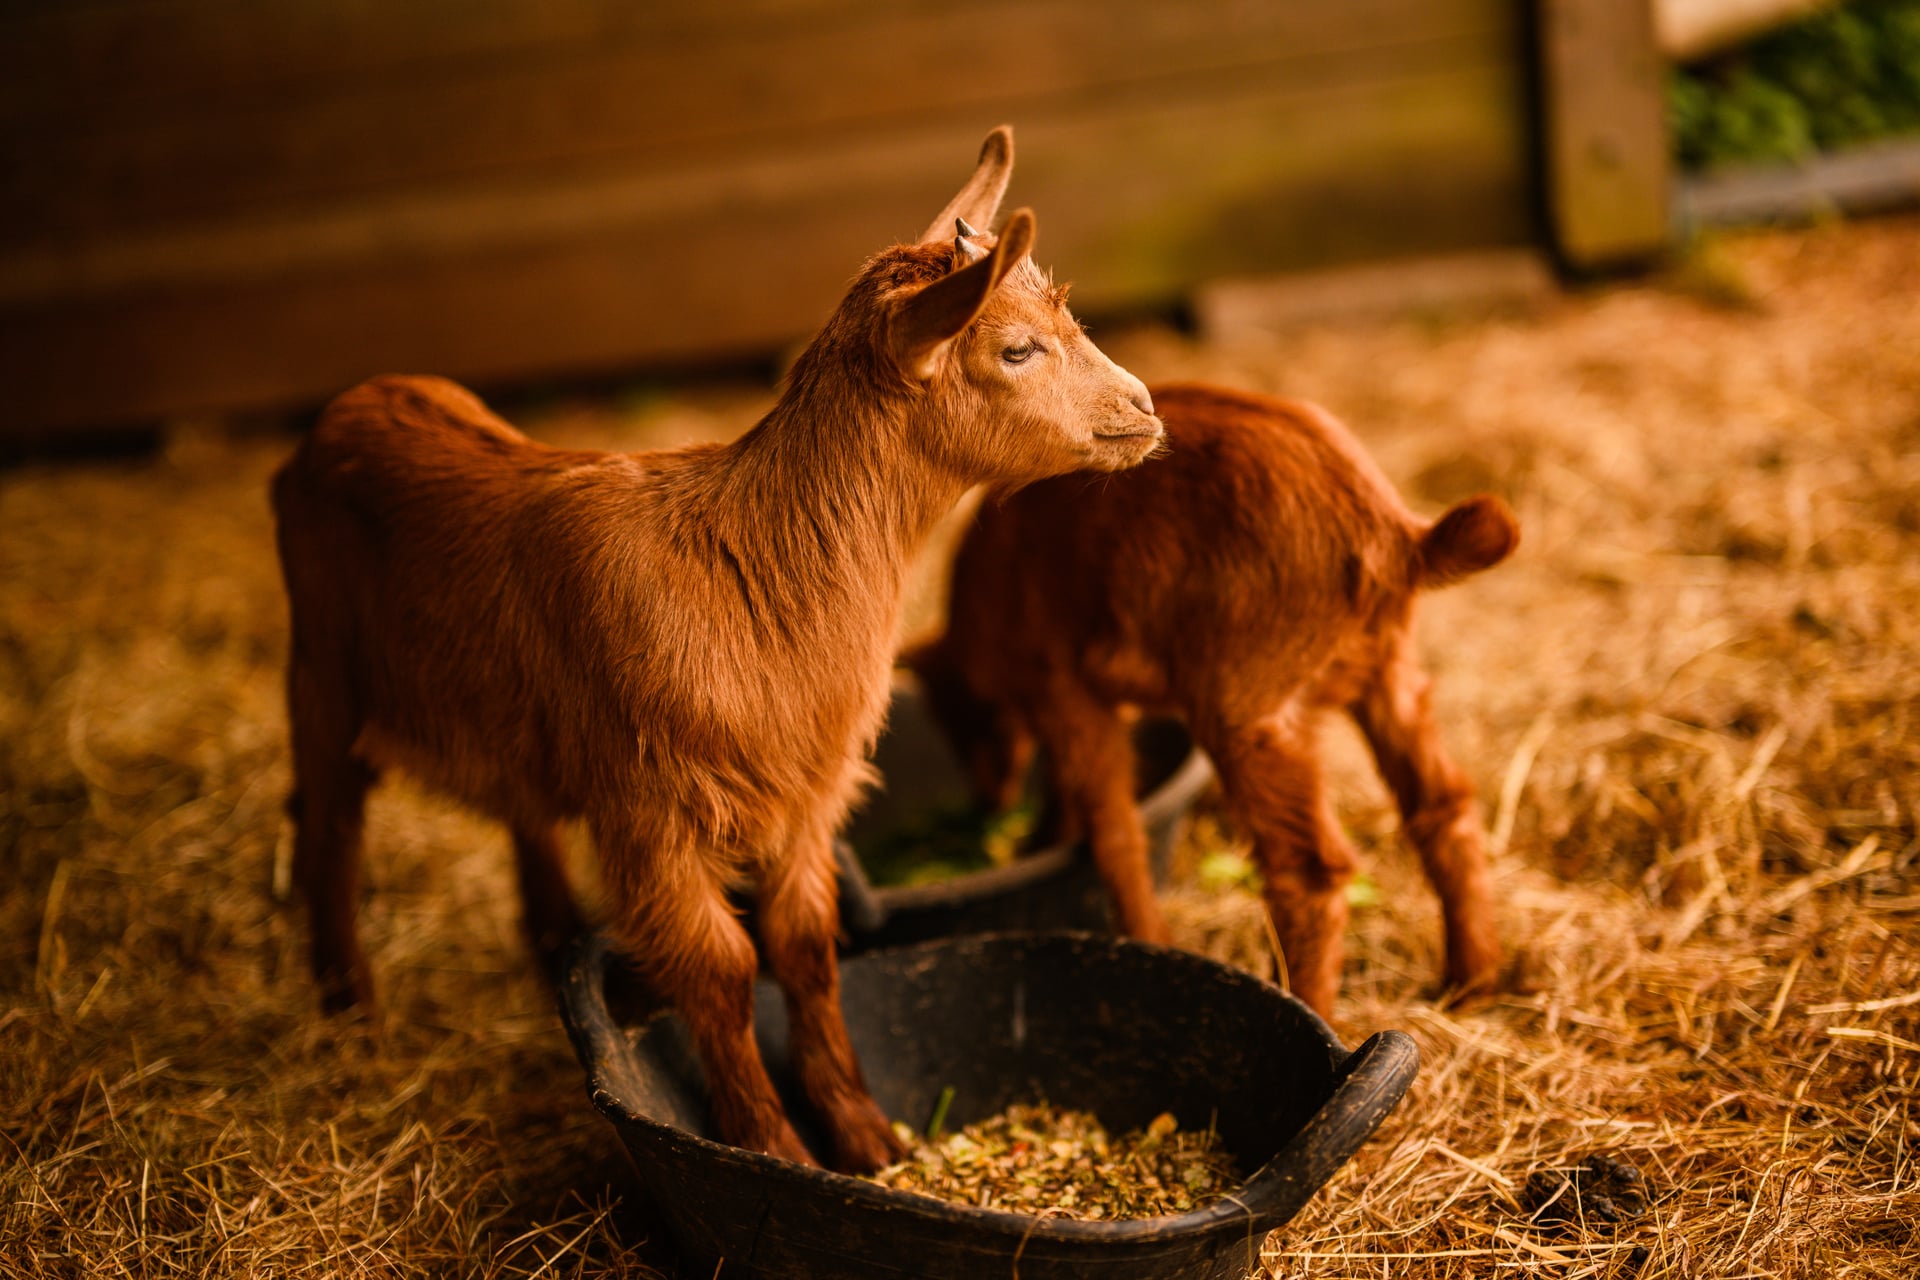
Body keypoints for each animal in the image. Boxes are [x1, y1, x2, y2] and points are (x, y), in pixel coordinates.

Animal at [270, 126, 1163, 1172]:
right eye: (1015, 347)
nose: (1143, 406)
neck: (750, 575)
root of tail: (350, 407)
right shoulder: (650, 812)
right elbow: (721, 970)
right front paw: (773, 1147)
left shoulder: (804, 795)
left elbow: (806, 947)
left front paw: (867, 1137)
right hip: (320, 670)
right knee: (328, 819)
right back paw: (347, 1004)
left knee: (515, 809)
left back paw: (545, 935)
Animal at [908, 383, 1516, 1017]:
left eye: (957, 722)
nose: (988, 803)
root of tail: (1394, 535)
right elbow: (1071, 800)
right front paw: (1043, 839)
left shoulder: (1064, 689)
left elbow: (1114, 828)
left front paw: (1146, 940)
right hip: (1389, 676)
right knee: (1443, 806)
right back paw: (1470, 985)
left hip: (1247, 708)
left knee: (1310, 870)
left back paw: (1307, 1004)